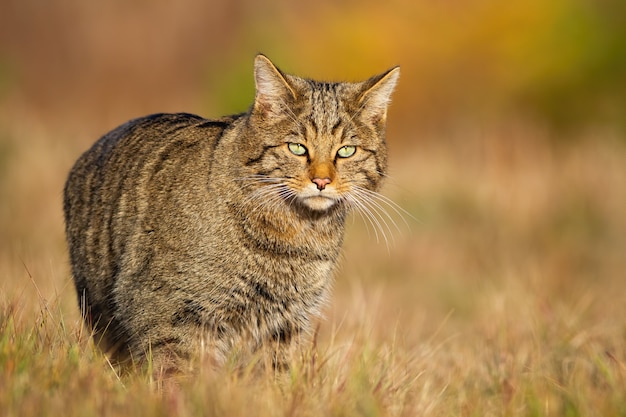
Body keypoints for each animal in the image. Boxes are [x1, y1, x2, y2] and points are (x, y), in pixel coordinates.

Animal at [64, 54, 400, 370]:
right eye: (297, 148)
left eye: (346, 151)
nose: (321, 181)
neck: (296, 235)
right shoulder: (168, 312)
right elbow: (179, 379)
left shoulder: (285, 323)